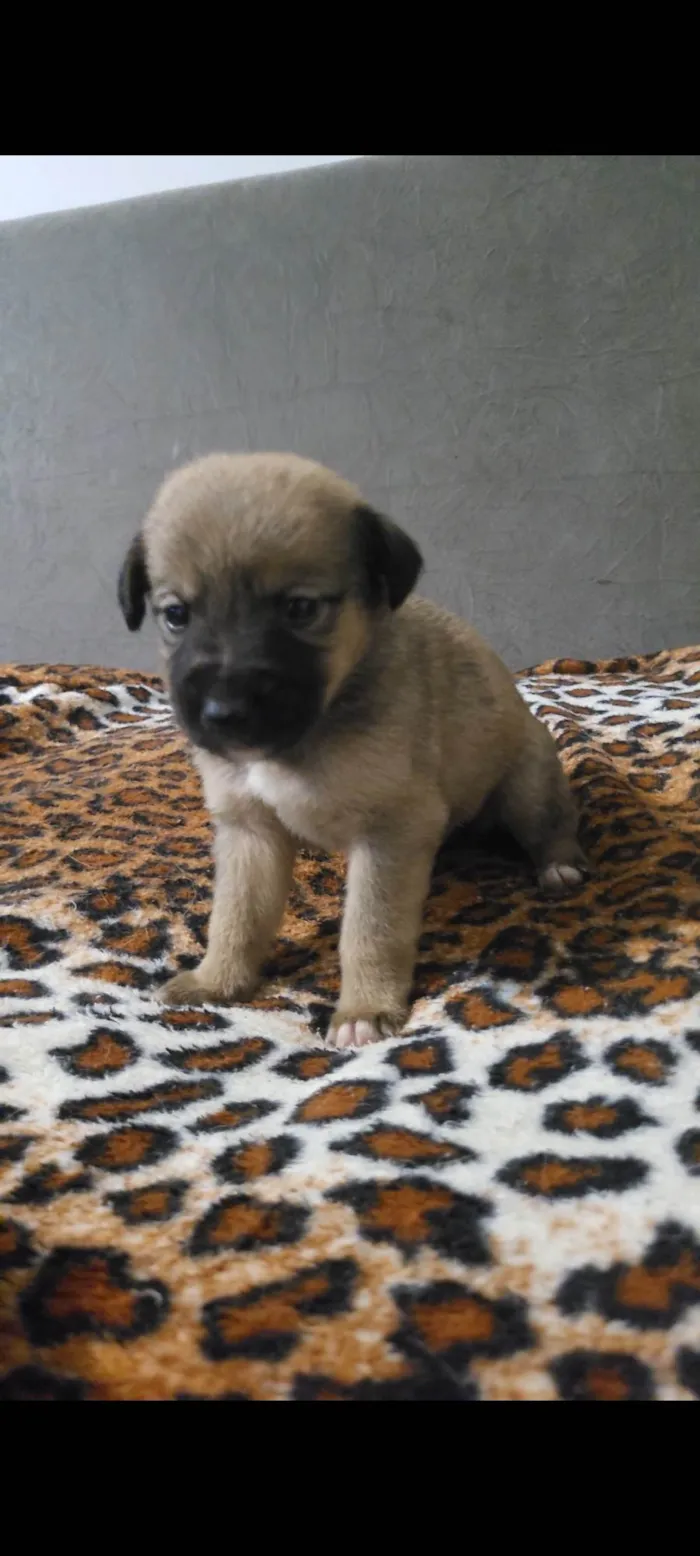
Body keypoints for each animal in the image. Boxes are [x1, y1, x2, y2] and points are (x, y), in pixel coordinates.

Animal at [119, 454, 584, 1051]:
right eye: (177, 615)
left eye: (299, 608)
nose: (224, 712)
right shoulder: (249, 830)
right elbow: (236, 917)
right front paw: (217, 980)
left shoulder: (390, 832)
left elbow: (370, 930)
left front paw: (365, 1008)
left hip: (527, 785)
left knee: (553, 824)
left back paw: (560, 867)